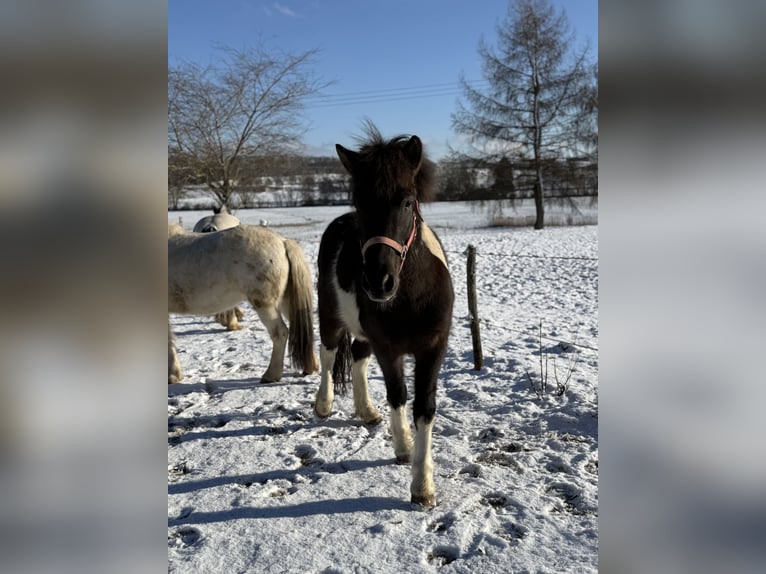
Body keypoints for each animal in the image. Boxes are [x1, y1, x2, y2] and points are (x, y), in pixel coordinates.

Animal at [168, 224, 318, 384]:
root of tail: (283, 242)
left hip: (265, 305)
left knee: (280, 333)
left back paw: (271, 375)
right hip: (286, 302)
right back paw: (310, 367)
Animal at [313, 126, 454, 507]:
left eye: (406, 201)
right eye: (360, 202)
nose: (379, 282)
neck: (410, 296)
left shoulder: (433, 348)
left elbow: (424, 406)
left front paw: (423, 485)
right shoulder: (388, 348)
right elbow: (398, 395)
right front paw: (404, 448)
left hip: (364, 334)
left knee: (358, 358)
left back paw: (366, 411)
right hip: (330, 318)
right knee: (329, 354)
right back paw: (323, 404)